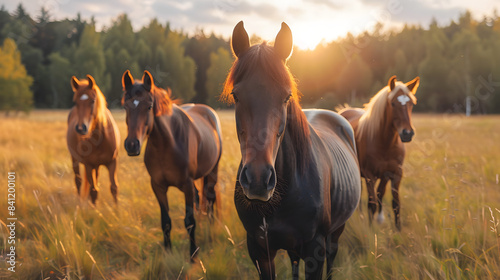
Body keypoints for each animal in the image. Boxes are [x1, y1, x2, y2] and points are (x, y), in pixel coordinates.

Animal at [65, 75, 120, 205]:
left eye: (93, 101)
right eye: (76, 102)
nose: (81, 128)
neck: (100, 139)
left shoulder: (112, 162)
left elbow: (114, 188)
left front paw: (117, 209)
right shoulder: (88, 165)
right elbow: (93, 190)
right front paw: (95, 209)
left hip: (97, 165)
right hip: (75, 160)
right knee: (79, 181)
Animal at [122, 70, 222, 262]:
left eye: (149, 106)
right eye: (125, 107)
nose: (132, 145)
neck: (167, 145)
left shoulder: (187, 185)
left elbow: (189, 221)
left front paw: (193, 254)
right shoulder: (158, 186)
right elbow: (166, 222)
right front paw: (167, 252)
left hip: (212, 171)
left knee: (210, 198)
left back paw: (211, 230)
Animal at [225, 21, 362, 280]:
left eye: (286, 96)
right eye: (235, 95)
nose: (258, 179)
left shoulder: (315, 249)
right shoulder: (259, 249)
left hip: (336, 233)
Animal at [338, 76, 420, 230]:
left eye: (411, 103)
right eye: (393, 103)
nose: (407, 133)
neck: (384, 143)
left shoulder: (395, 173)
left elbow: (395, 203)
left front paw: (398, 229)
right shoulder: (370, 175)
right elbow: (372, 204)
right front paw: (371, 230)